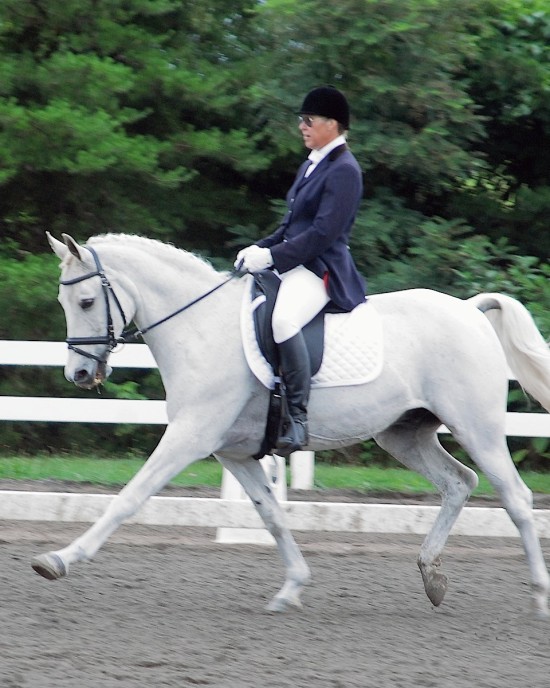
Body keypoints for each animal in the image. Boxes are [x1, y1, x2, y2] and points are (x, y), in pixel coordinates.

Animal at [33, 231, 550, 617]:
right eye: (62, 300)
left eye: (85, 301)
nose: (79, 375)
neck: (201, 327)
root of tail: (468, 309)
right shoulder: (233, 452)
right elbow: (272, 516)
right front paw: (291, 589)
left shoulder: (190, 436)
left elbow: (129, 498)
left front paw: (59, 559)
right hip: (403, 434)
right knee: (459, 483)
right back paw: (432, 575)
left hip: (477, 428)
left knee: (516, 499)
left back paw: (539, 598)